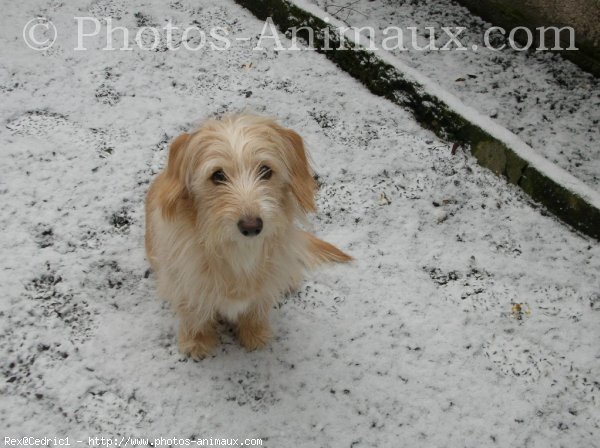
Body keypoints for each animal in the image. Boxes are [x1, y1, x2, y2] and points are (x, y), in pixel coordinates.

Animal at [145, 114, 352, 358]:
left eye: (265, 170)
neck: (239, 250)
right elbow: (194, 313)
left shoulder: (264, 285)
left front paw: (254, 334)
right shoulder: (185, 284)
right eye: (217, 175)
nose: (251, 226)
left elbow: (256, 309)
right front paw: (197, 342)